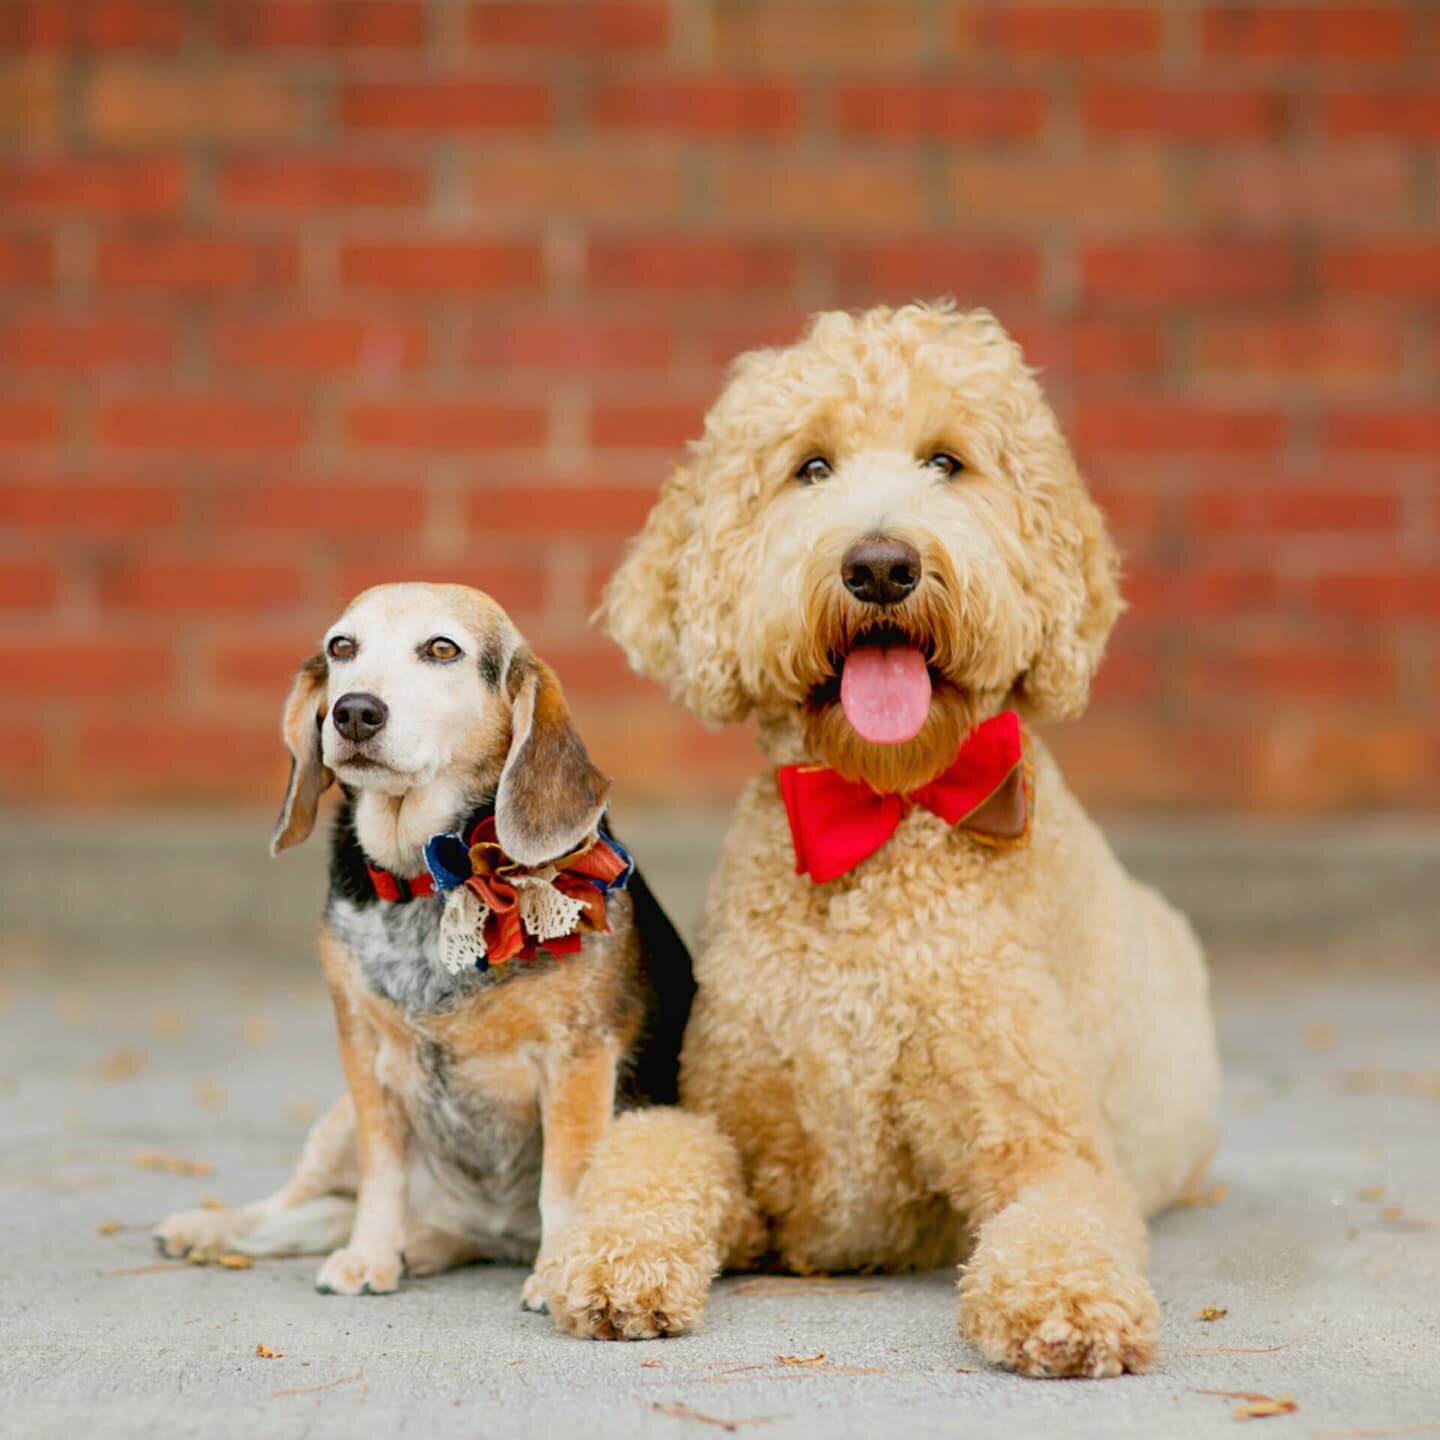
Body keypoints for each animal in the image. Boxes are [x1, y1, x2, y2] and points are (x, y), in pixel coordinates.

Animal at [154, 576, 694, 1307]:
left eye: (442, 649)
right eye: (341, 647)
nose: (353, 712)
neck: (431, 880)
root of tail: (479, 1231)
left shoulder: (579, 1060)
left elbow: (564, 1183)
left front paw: (556, 1271)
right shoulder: (364, 1057)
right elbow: (382, 1177)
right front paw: (369, 1256)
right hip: (336, 1126)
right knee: (294, 1207)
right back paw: (210, 1227)